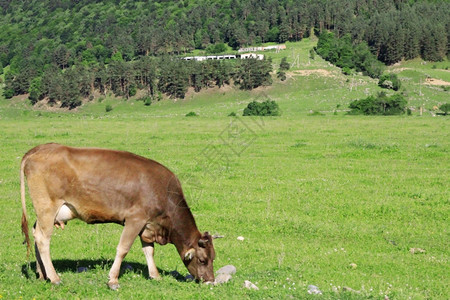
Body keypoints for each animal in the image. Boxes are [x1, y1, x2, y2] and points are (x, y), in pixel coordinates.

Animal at [21, 144, 216, 290]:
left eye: (213, 257)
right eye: (203, 260)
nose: (210, 281)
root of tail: (41, 148)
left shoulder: (147, 225)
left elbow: (149, 250)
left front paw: (155, 275)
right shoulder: (135, 219)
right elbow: (123, 248)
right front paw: (113, 280)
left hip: (45, 212)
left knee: (35, 233)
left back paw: (42, 274)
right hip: (47, 207)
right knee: (43, 238)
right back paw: (54, 277)